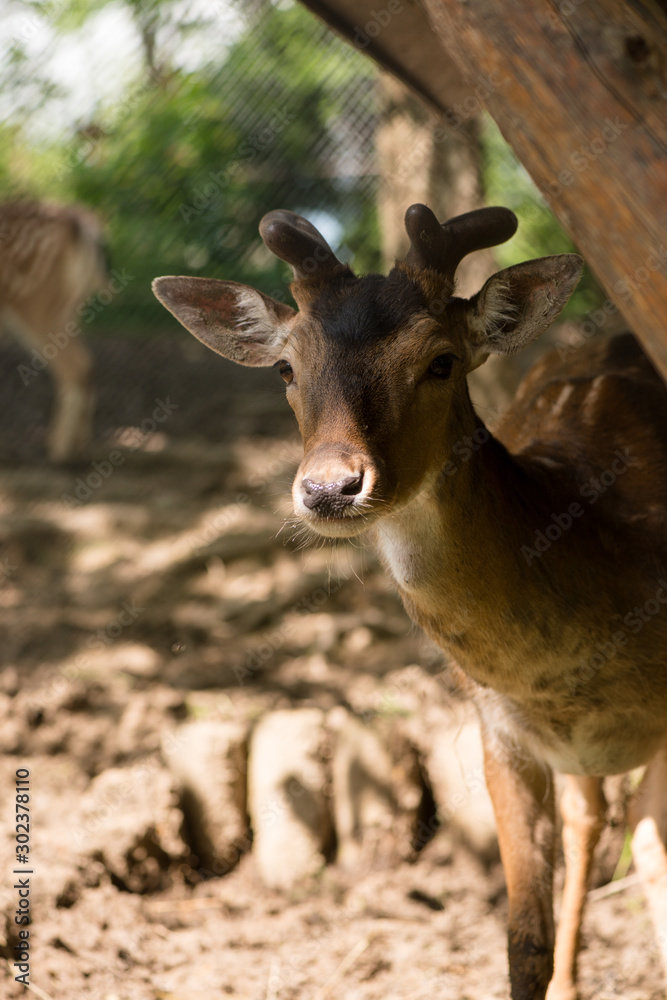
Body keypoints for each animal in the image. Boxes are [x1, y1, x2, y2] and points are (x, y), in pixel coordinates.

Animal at [0, 200, 106, 464]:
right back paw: (80, 447)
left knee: (76, 365)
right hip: (70, 310)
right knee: (87, 363)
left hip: (35, 303)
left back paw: (60, 452)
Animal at [151, 205, 667, 1000]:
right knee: (590, 818)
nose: (331, 487)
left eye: (440, 361)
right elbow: (523, 938)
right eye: (285, 367)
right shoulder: (498, 728)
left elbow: (654, 865)